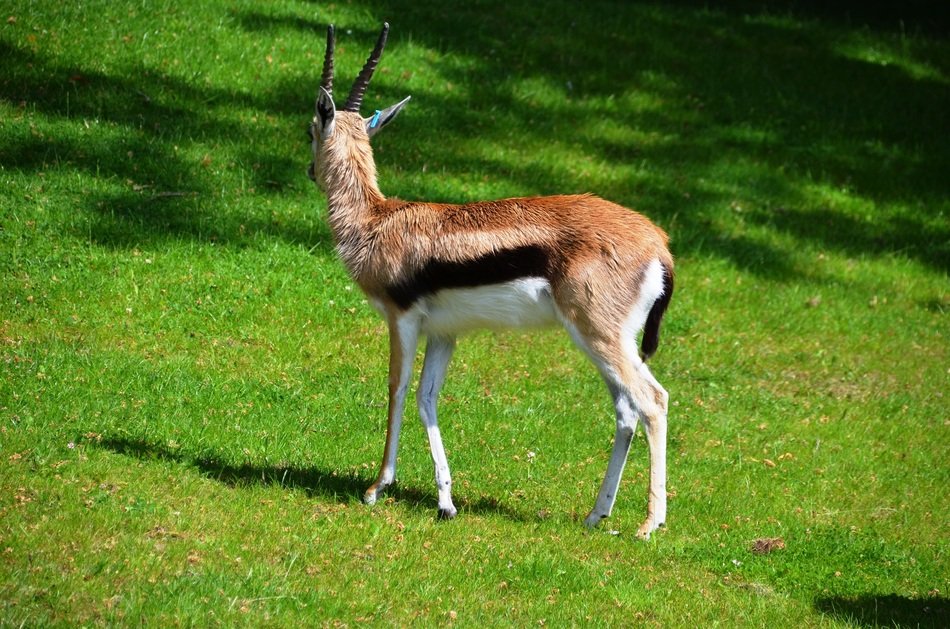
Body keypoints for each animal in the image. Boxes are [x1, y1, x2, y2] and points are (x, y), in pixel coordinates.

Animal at [307, 23, 674, 538]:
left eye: (310, 128)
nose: (309, 170)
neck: (376, 221)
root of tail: (658, 243)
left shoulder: (401, 320)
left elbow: (396, 389)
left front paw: (376, 488)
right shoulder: (444, 333)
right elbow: (427, 397)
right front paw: (445, 501)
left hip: (599, 335)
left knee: (653, 401)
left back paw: (649, 524)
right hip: (604, 340)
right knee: (626, 411)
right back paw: (595, 514)